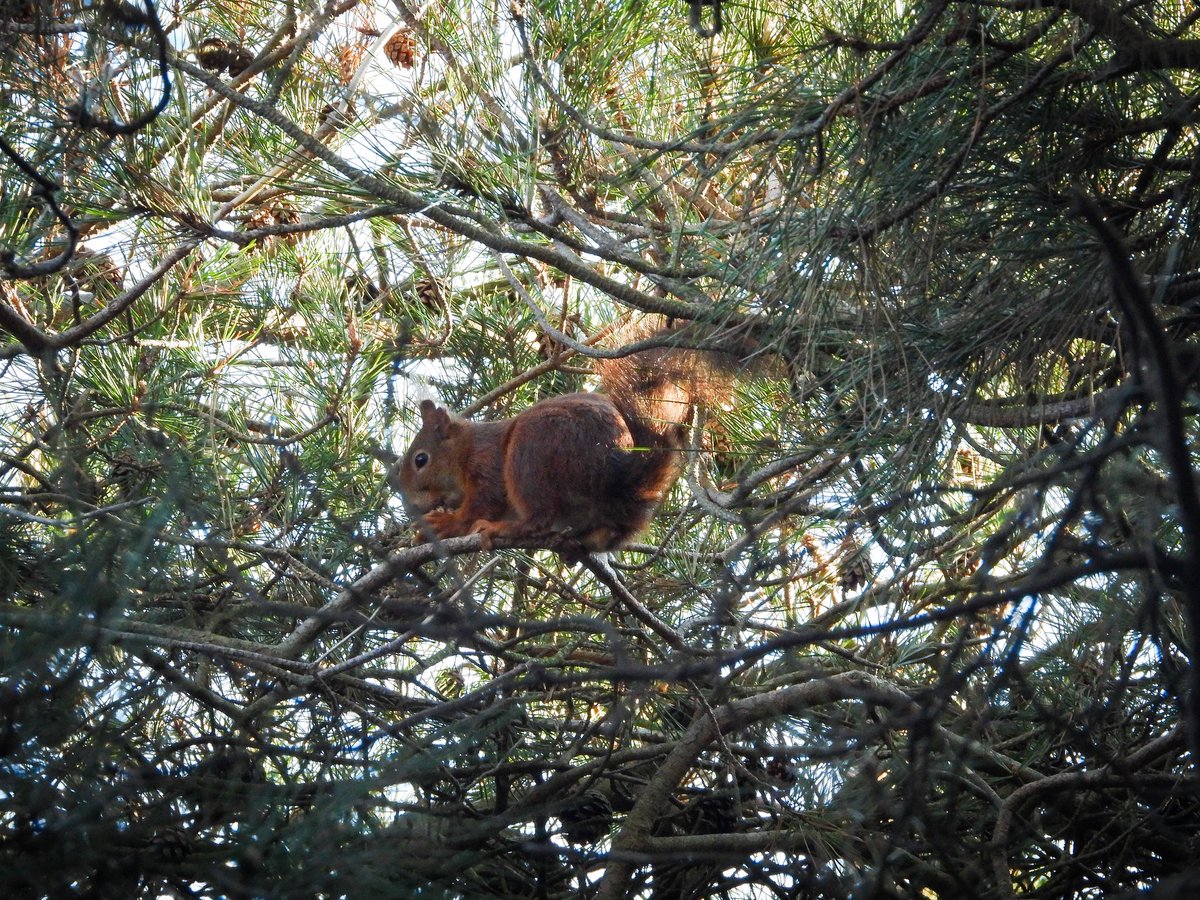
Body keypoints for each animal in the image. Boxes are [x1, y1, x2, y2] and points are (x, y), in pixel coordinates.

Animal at [390, 328, 735, 554]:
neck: (465, 449)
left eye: (420, 460)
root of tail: (619, 479)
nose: (411, 505)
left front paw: (445, 524)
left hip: (532, 451)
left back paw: (504, 528)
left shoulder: (486, 465)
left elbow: (481, 506)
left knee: (539, 519)